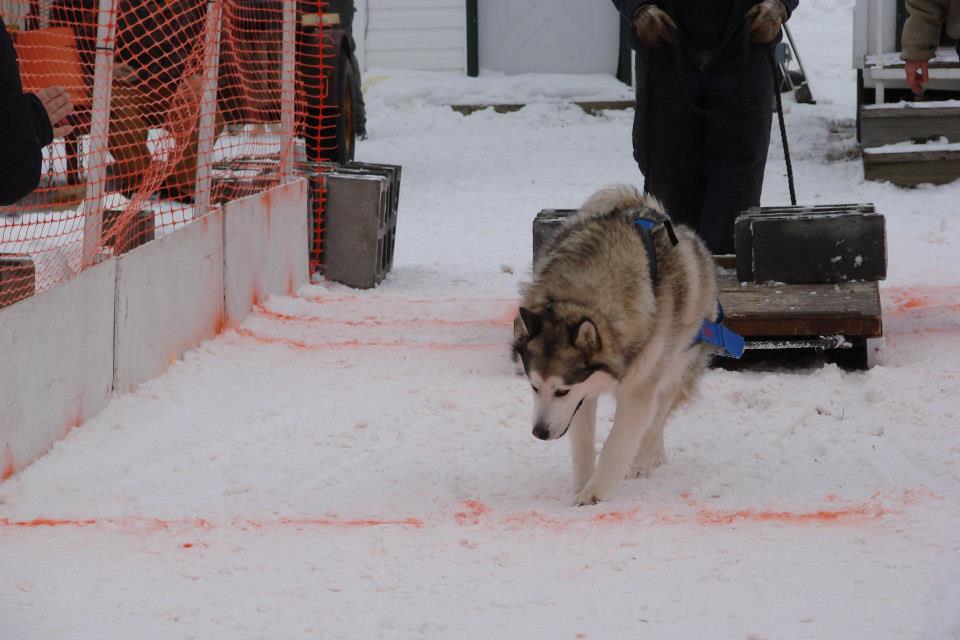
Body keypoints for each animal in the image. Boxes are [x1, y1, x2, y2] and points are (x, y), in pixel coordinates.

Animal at [512, 184, 716, 504]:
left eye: (560, 391)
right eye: (534, 387)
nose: (539, 433)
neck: (583, 296)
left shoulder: (636, 390)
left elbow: (618, 443)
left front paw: (594, 494)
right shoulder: (582, 393)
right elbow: (583, 444)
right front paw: (581, 485)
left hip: (677, 364)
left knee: (657, 418)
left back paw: (643, 461)